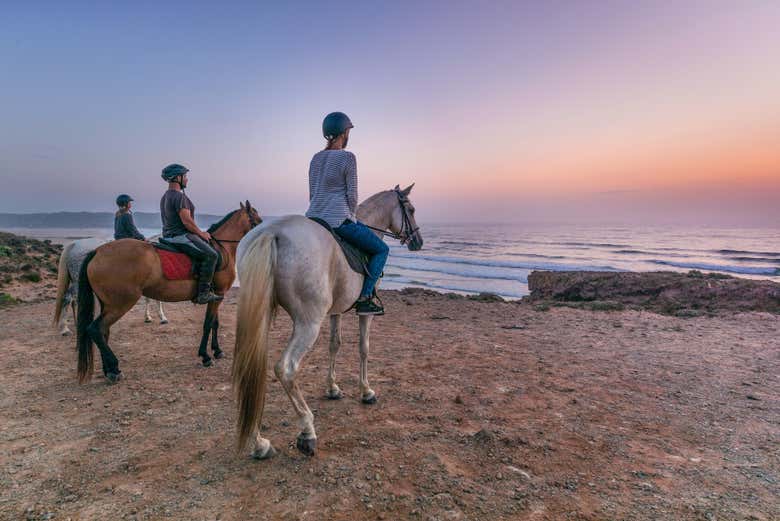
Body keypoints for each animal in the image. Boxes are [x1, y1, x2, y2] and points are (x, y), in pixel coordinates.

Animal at [77, 200, 264, 382]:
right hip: (120, 304)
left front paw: (217, 351)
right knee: (95, 329)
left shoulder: (217, 295)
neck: (222, 248)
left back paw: (109, 369)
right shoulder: (218, 294)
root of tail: (97, 252)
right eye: (257, 220)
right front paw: (205, 356)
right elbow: (207, 324)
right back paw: (114, 368)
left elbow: (214, 323)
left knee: (103, 331)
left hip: (108, 304)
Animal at [233, 185, 420, 458]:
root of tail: (271, 231)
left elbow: (335, 344)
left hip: (260, 316)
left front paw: (332, 388)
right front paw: (366, 391)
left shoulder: (336, 311)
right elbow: (363, 348)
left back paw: (259, 442)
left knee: (250, 367)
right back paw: (307, 431)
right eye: (411, 209)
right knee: (286, 368)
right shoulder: (365, 313)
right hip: (308, 323)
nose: (418, 241)